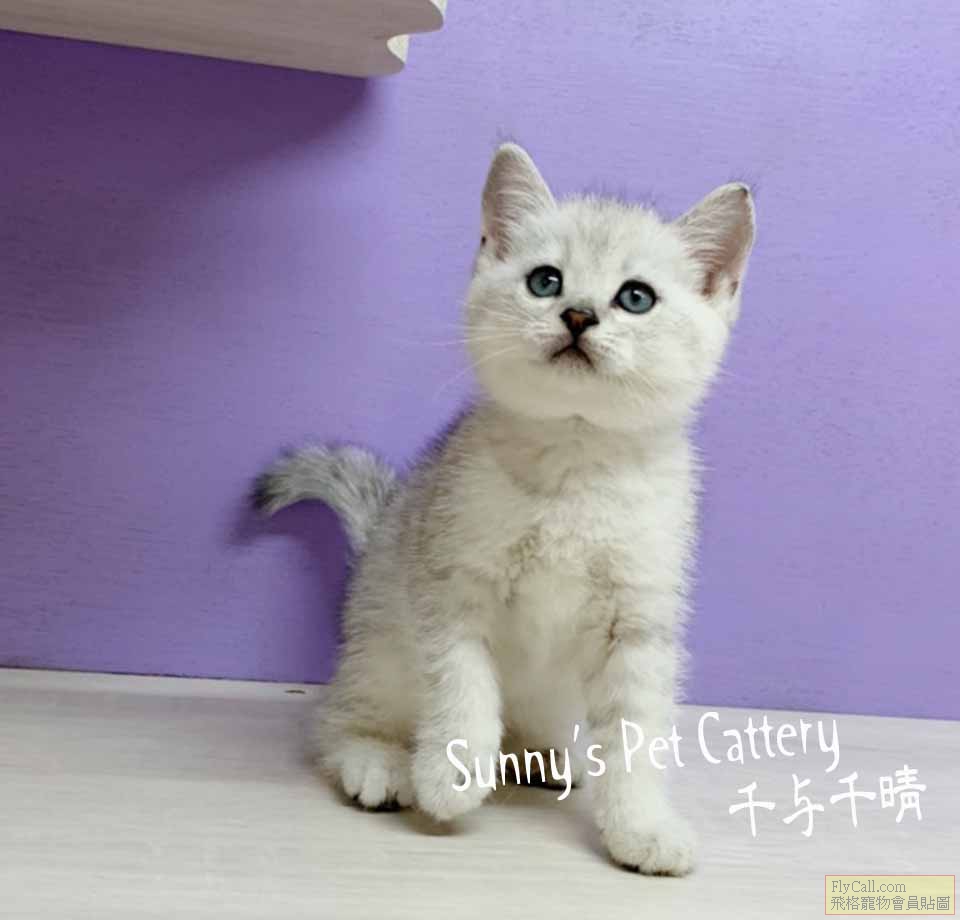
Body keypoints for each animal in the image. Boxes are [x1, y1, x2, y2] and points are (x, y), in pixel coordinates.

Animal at [254, 143, 755, 876]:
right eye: (546, 281)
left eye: (636, 297)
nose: (578, 314)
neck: (574, 463)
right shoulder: (451, 588)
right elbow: (463, 690)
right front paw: (450, 774)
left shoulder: (639, 623)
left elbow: (634, 736)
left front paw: (639, 827)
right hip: (380, 646)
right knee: (339, 717)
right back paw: (377, 761)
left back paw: (541, 757)